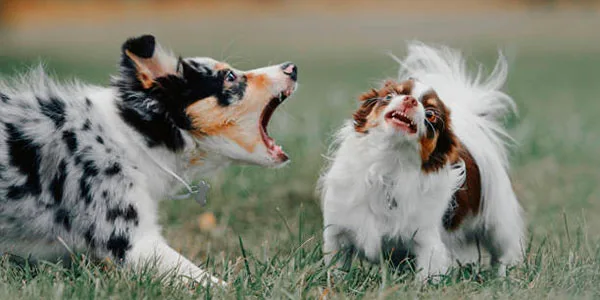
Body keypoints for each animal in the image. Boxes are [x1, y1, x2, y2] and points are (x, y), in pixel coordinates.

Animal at [322, 42, 524, 282]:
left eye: (431, 115)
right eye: (390, 96)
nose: (410, 100)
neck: (389, 165)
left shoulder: (427, 242)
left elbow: (426, 275)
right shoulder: (338, 233)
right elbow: (336, 269)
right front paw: (335, 283)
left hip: (498, 224)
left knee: (505, 251)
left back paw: (505, 277)